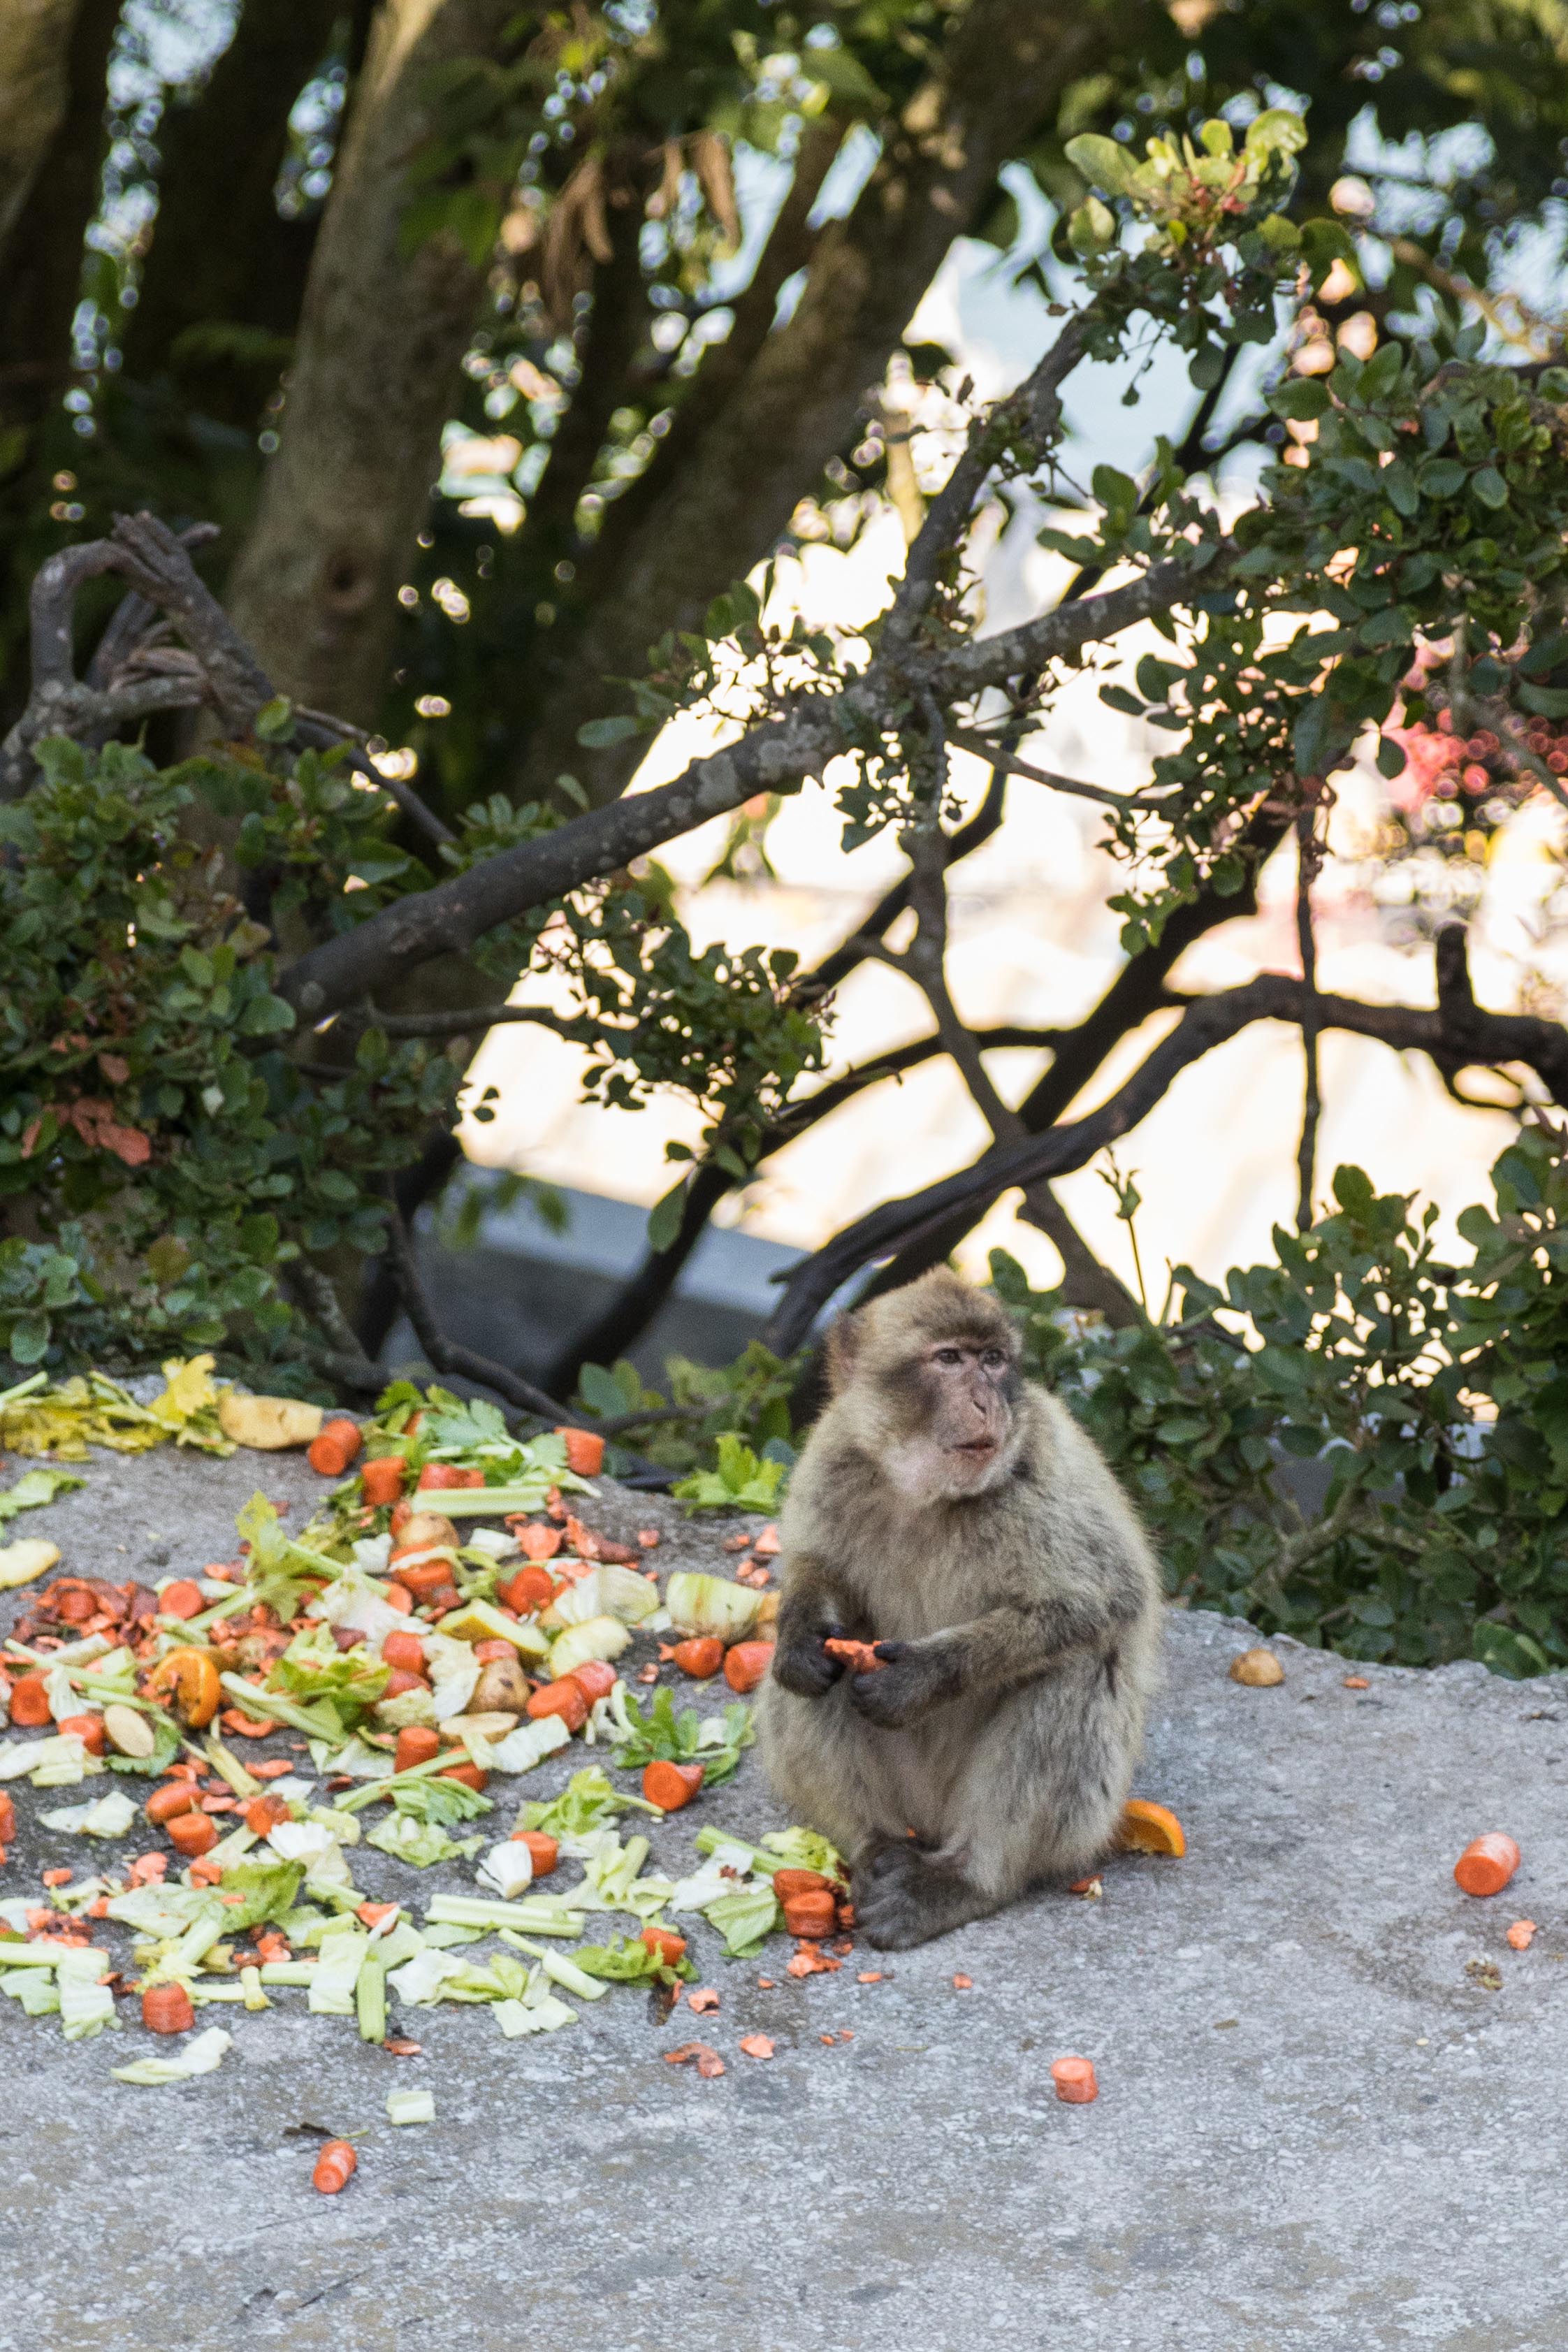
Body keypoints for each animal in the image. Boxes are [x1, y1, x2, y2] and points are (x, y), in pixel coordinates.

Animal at [752, 1270, 1161, 1947]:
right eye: (949, 1360)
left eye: (992, 1360)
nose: (988, 1402)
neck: (924, 1491)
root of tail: (932, 1823)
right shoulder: (835, 1451)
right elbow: (818, 1573)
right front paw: (802, 1637)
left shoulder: (1039, 1473)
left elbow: (1102, 1601)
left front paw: (919, 1678)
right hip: (908, 1797)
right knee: (813, 1683)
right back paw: (875, 1845)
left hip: (1073, 1819)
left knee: (1076, 1666)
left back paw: (967, 1880)